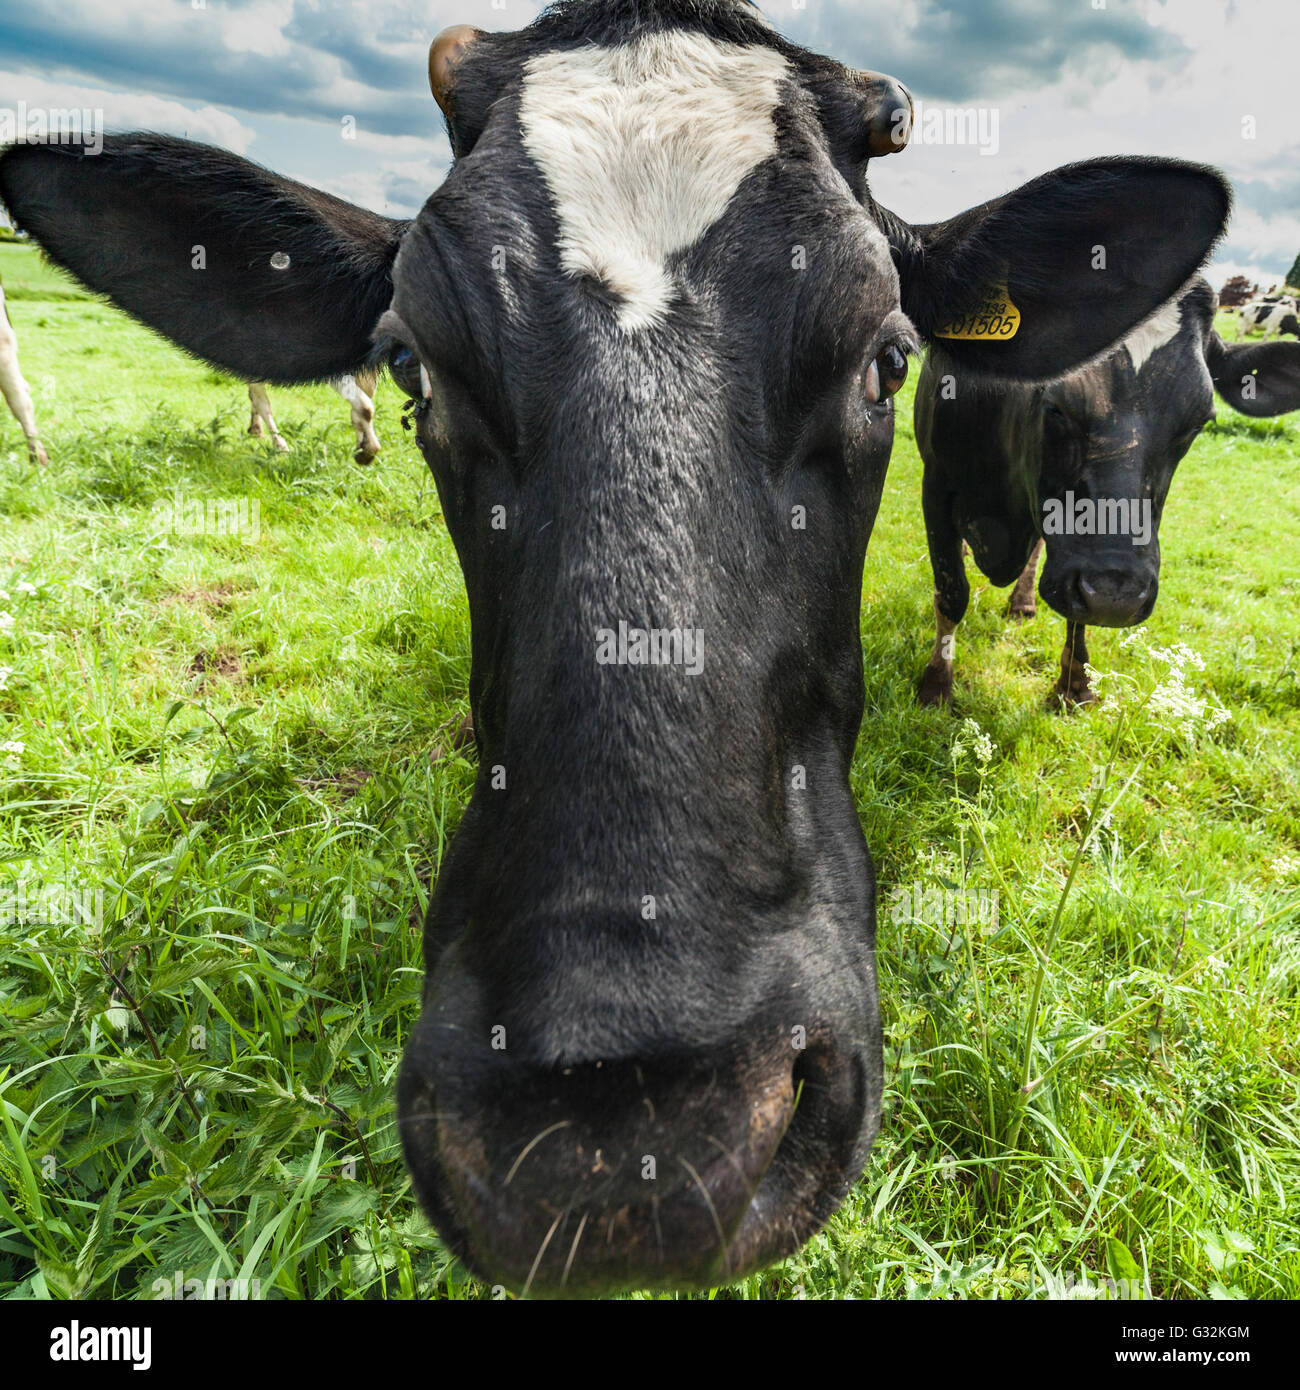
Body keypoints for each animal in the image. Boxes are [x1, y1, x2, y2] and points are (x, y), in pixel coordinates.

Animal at [917, 273, 1300, 706]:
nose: (1116, 595)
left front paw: (1073, 684)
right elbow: (952, 591)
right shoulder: (937, 485)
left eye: (1198, 422)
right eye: (1056, 405)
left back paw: (1023, 601)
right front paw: (936, 684)